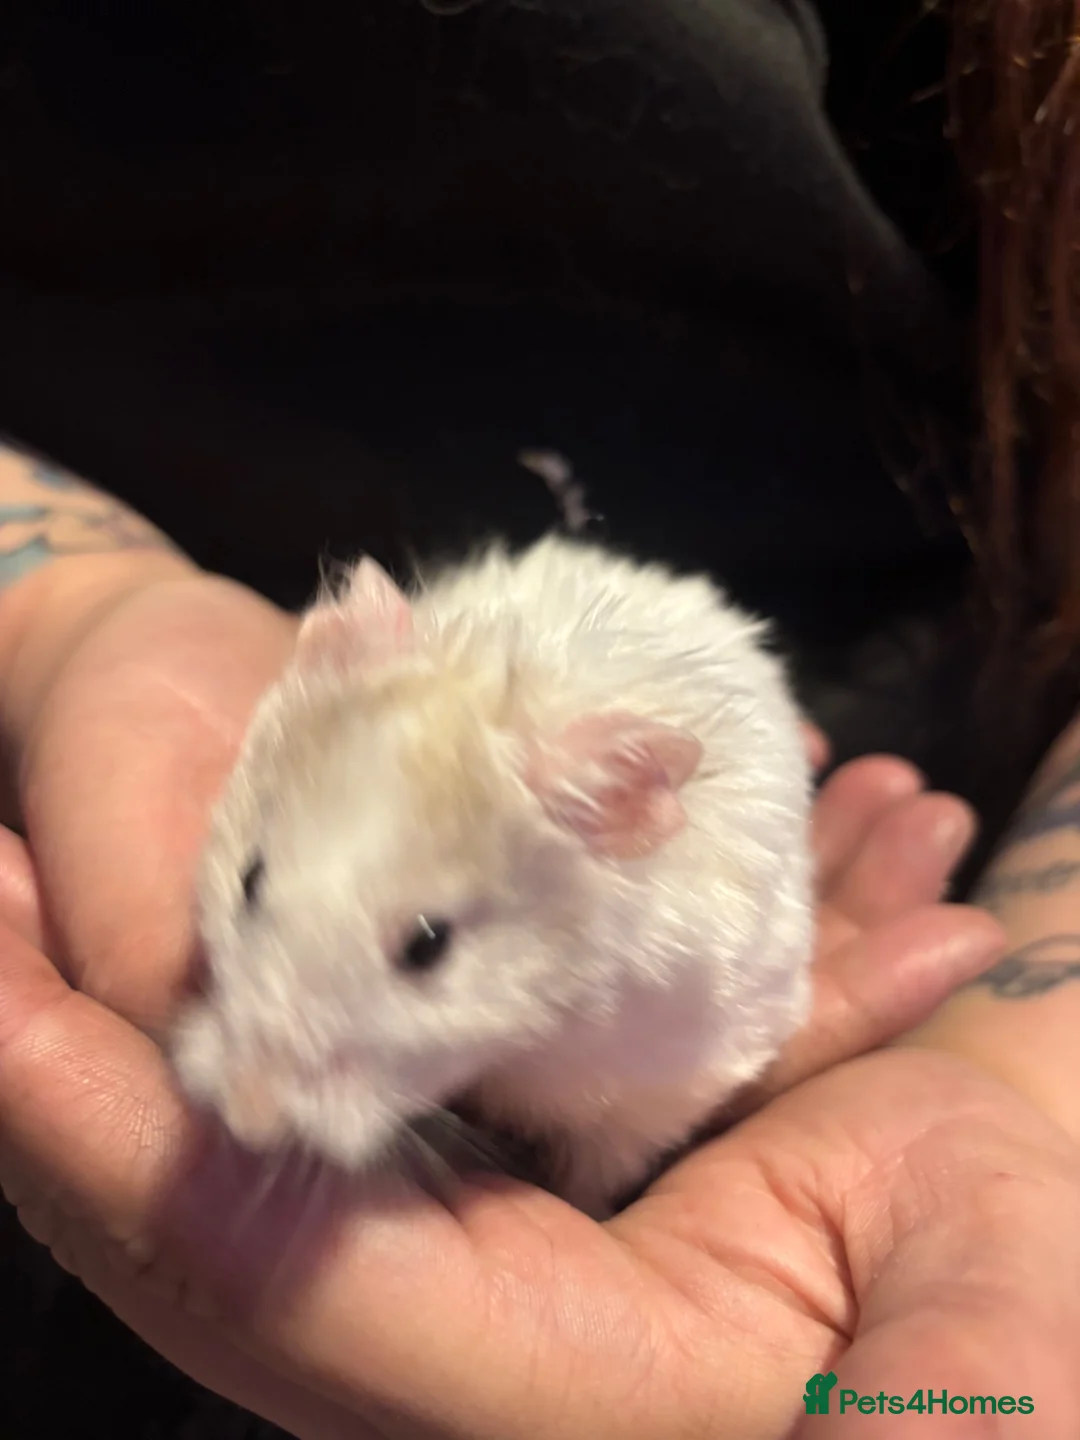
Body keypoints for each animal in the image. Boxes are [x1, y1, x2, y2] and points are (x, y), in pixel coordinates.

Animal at [169, 533, 814, 1219]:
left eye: (429, 945)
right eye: (249, 880)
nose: (247, 1118)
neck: (533, 1037)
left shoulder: (660, 1088)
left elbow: (598, 1171)